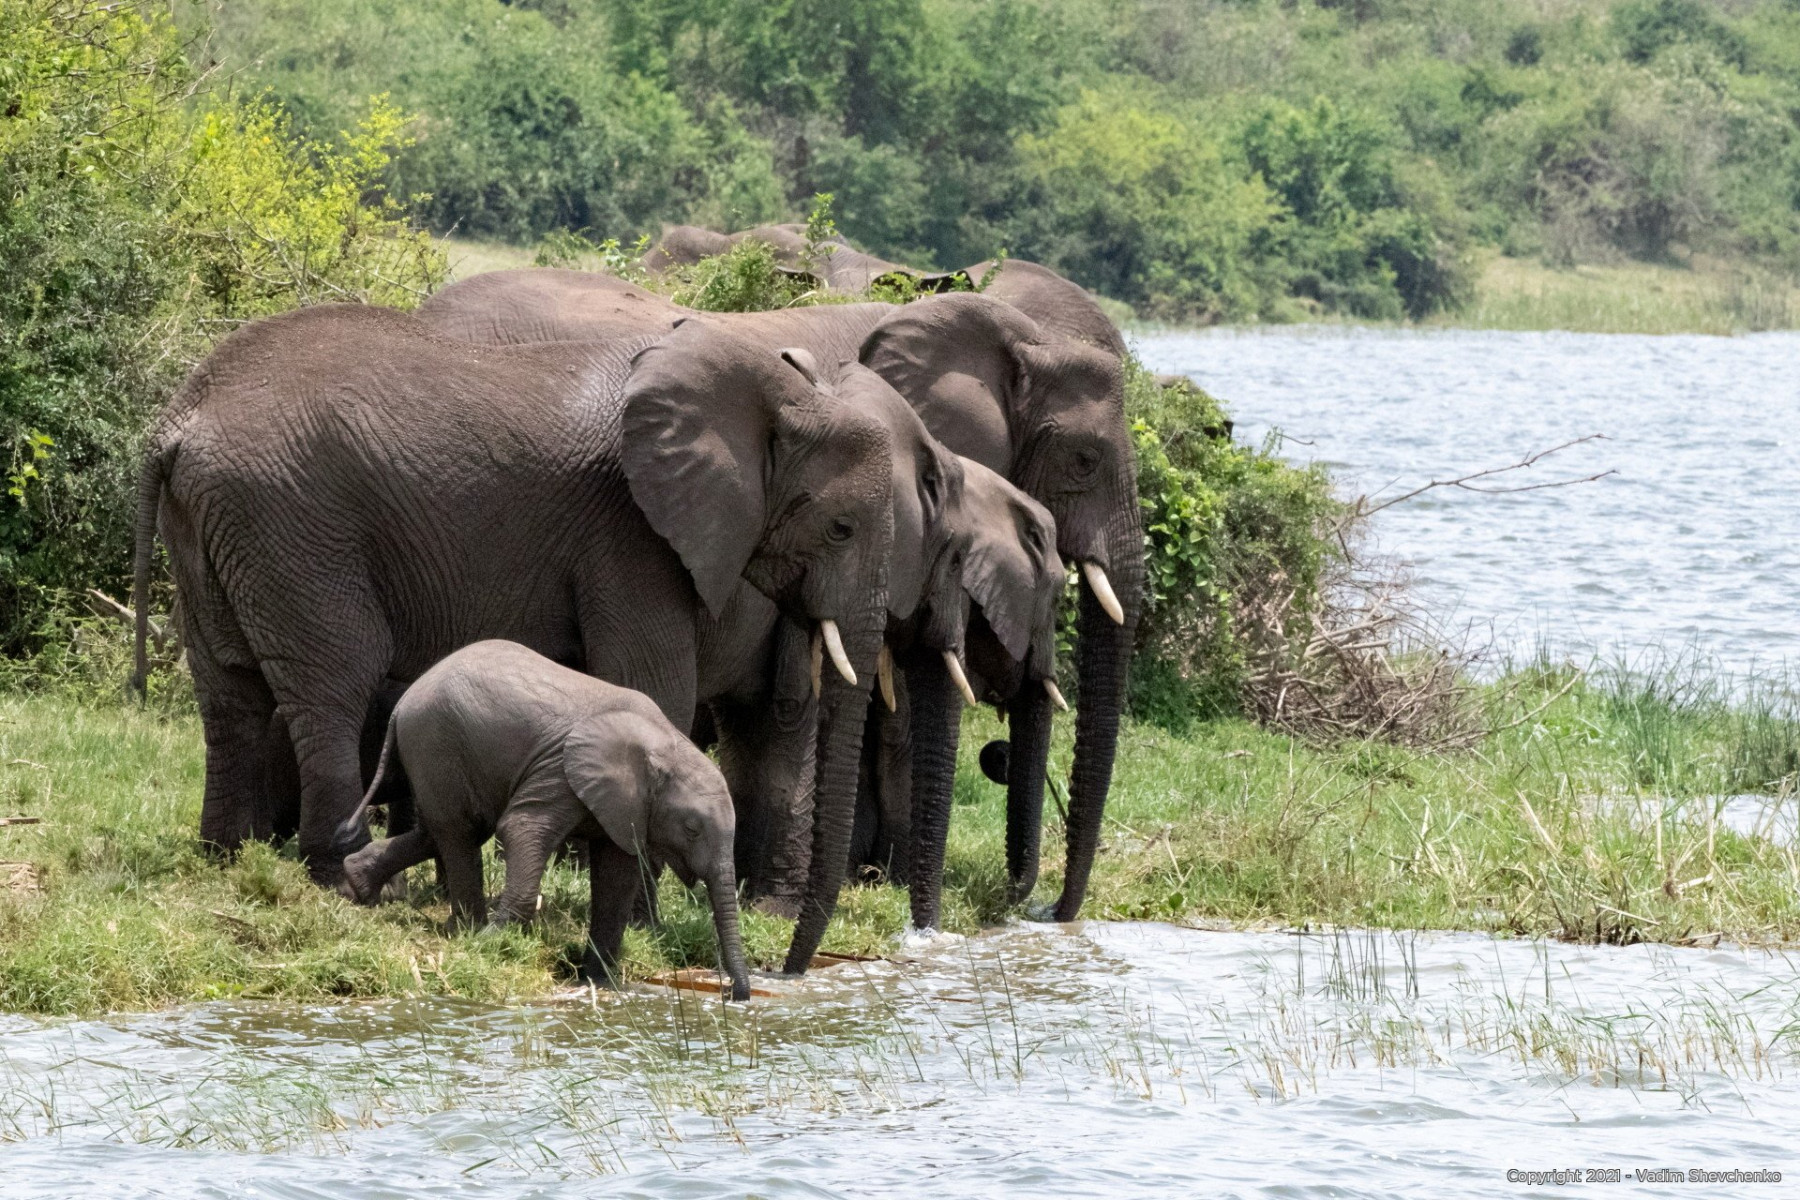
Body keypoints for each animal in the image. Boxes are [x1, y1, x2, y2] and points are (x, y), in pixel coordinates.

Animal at [131, 307, 907, 949]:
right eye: (841, 529)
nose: (793, 967)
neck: (777, 396)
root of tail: (178, 420)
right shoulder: (631, 534)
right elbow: (654, 688)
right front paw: (644, 923)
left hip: (214, 521)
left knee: (228, 689)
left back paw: (227, 857)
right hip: (293, 525)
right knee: (333, 688)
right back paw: (339, 878)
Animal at [334, 644, 748, 1000]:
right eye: (692, 829)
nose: (732, 993)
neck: (667, 746)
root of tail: (404, 700)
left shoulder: (625, 806)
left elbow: (618, 872)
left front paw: (598, 979)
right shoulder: (558, 772)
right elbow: (521, 828)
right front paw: (493, 941)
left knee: (439, 831)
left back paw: (356, 884)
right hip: (435, 745)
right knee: (460, 831)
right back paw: (469, 931)